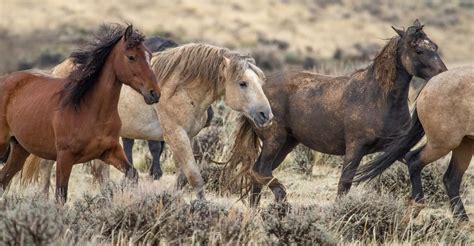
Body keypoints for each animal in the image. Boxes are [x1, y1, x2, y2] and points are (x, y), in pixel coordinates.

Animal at [0, 24, 160, 203]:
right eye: (131, 57)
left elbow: (133, 174)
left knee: (3, 180)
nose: (154, 93)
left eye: (149, 56)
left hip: (19, 151)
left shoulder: (110, 152)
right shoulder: (64, 158)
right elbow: (61, 196)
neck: (88, 110)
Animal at [23, 42, 274, 200]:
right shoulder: (175, 135)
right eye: (242, 83)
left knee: (97, 171)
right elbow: (195, 177)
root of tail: (57, 70)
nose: (266, 115)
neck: (181, 88)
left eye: (261, 82)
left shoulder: (187, 137)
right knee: (47, 166)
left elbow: (182, 177)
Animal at [224, 20, 446, 207]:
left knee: (258, 173)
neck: (378, 97)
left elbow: (413, 162)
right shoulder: (355, 148)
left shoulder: (394, 147)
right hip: (274, 141)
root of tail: (259, 89)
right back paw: (280, 198)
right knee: (260, 170)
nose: (443, 75)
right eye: (418, 50)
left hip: (286, 144)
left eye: (435, 47)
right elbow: (344, 183)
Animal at [356, 66, 474, 221]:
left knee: (451, 179)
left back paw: (462, 221)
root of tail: (430, 83)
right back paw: (418, 205)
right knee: (414, 160)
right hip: (442, 145)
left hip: (464, 144)